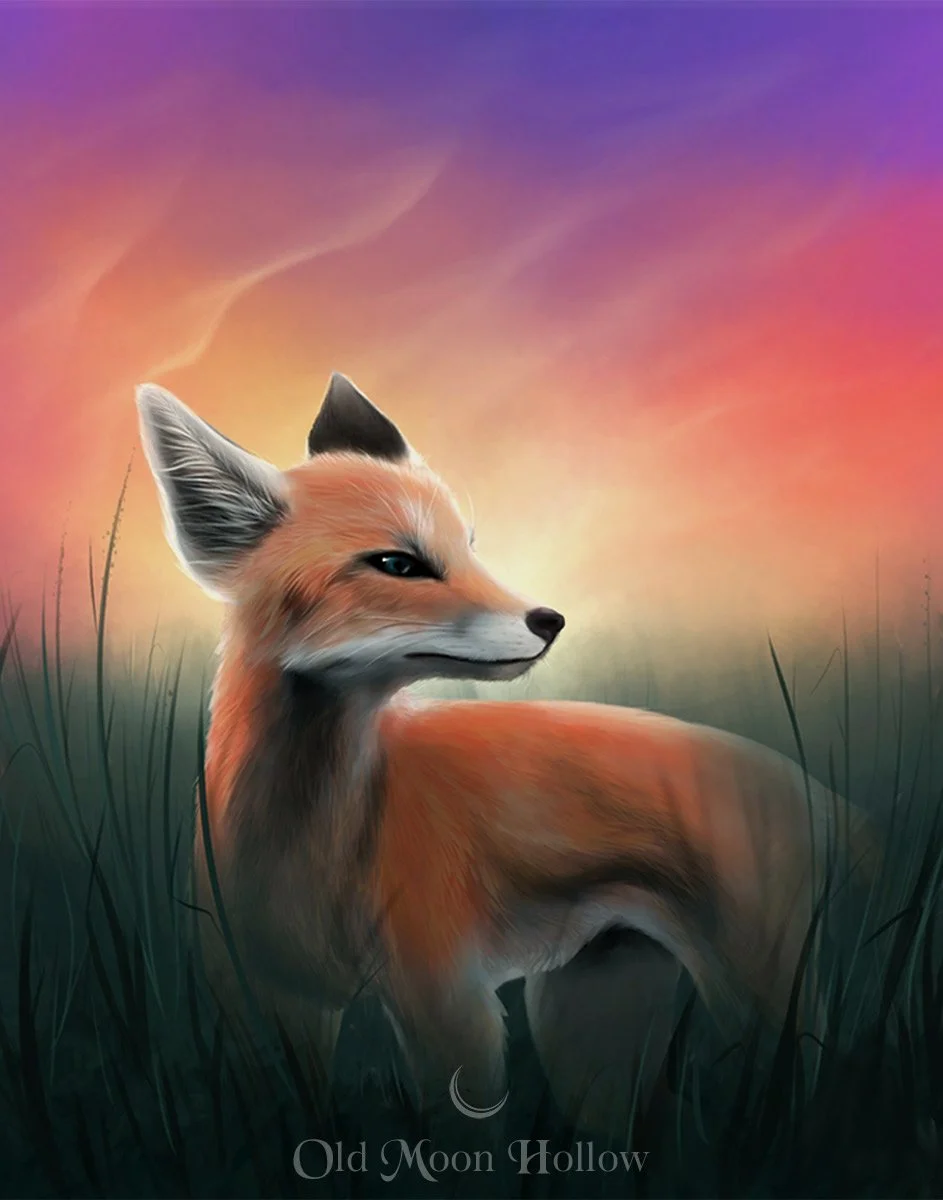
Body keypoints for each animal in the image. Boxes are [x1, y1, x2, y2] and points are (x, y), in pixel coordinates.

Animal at [136, 372, 877, 1132]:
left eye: (469, 545)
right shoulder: (268, 1007)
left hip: (758, 1003)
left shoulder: (449, 1003)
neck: (313, 846)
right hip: (588, 1027)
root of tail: (814, 791)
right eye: (398, 563)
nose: (549, 620)